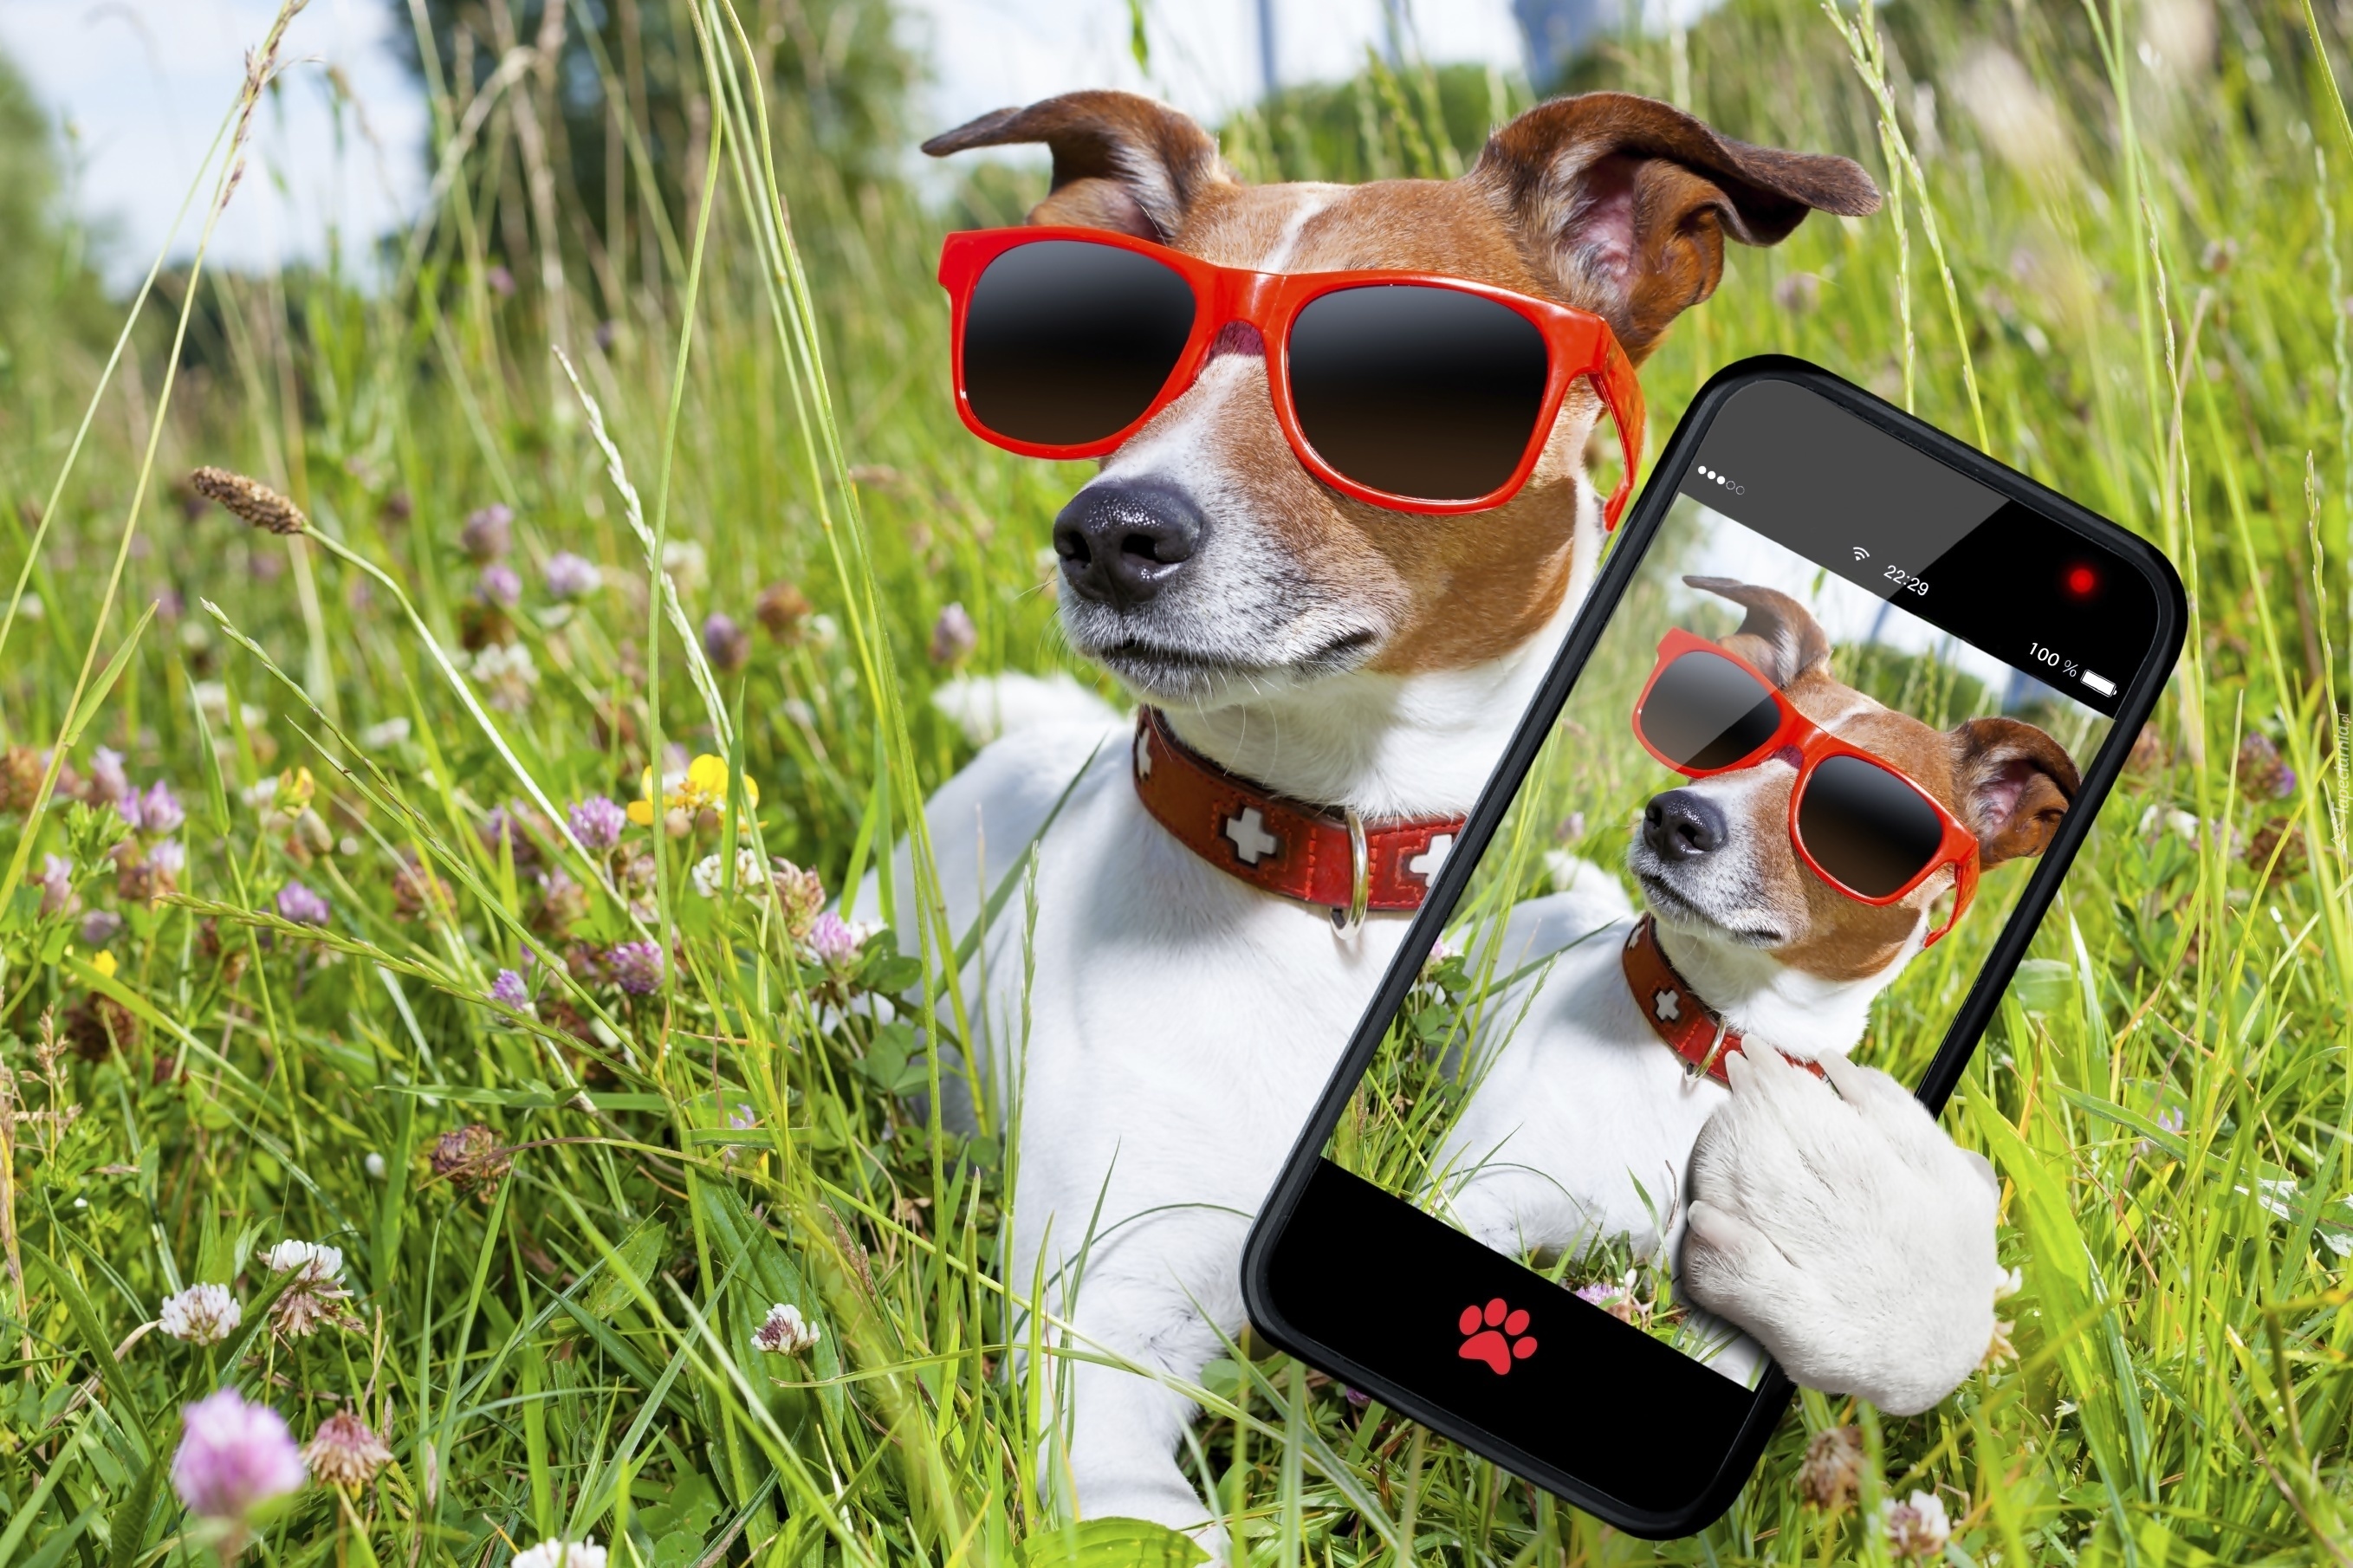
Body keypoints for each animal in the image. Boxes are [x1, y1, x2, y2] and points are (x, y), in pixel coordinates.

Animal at [1430, 574, 2079, 1403]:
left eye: (1865, 820)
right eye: (1729, 731)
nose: (1675, 816)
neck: (1704, 1041)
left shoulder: (1727, 1335)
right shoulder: (1470, 1196)